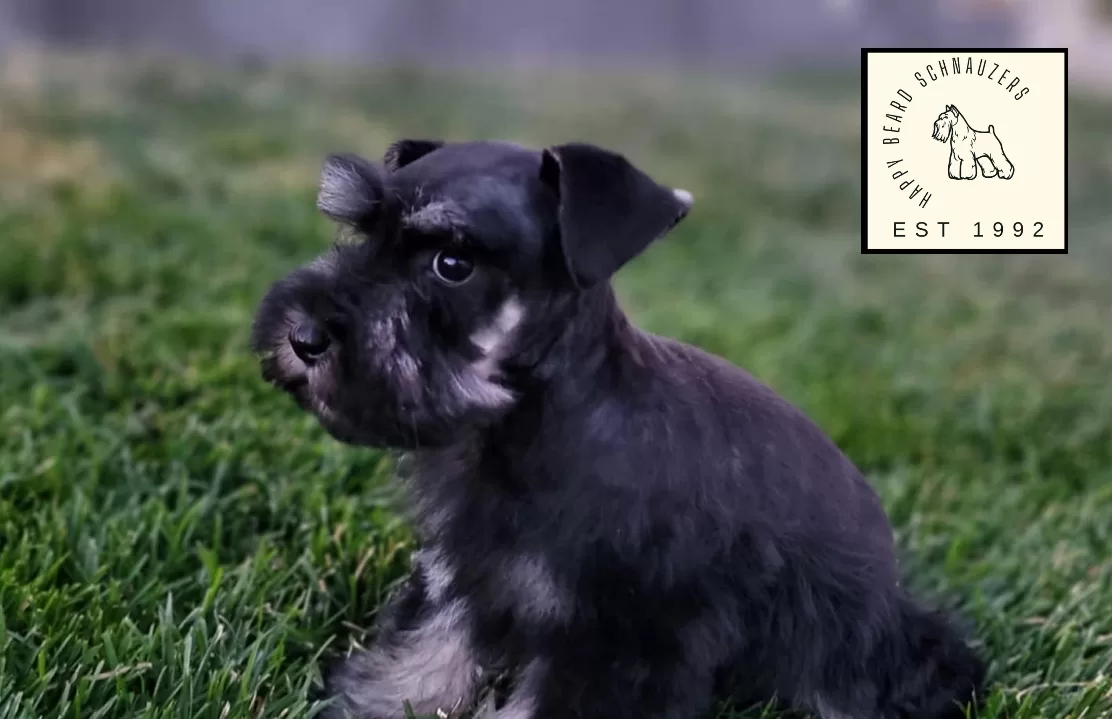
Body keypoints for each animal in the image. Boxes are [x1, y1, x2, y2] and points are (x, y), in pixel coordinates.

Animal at [250, 137, 983, 715]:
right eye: (361, 235)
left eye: (451, 264)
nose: (302, 337)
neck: (527, 428)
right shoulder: (464, 580)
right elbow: (422, 662)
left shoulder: (619, 639)